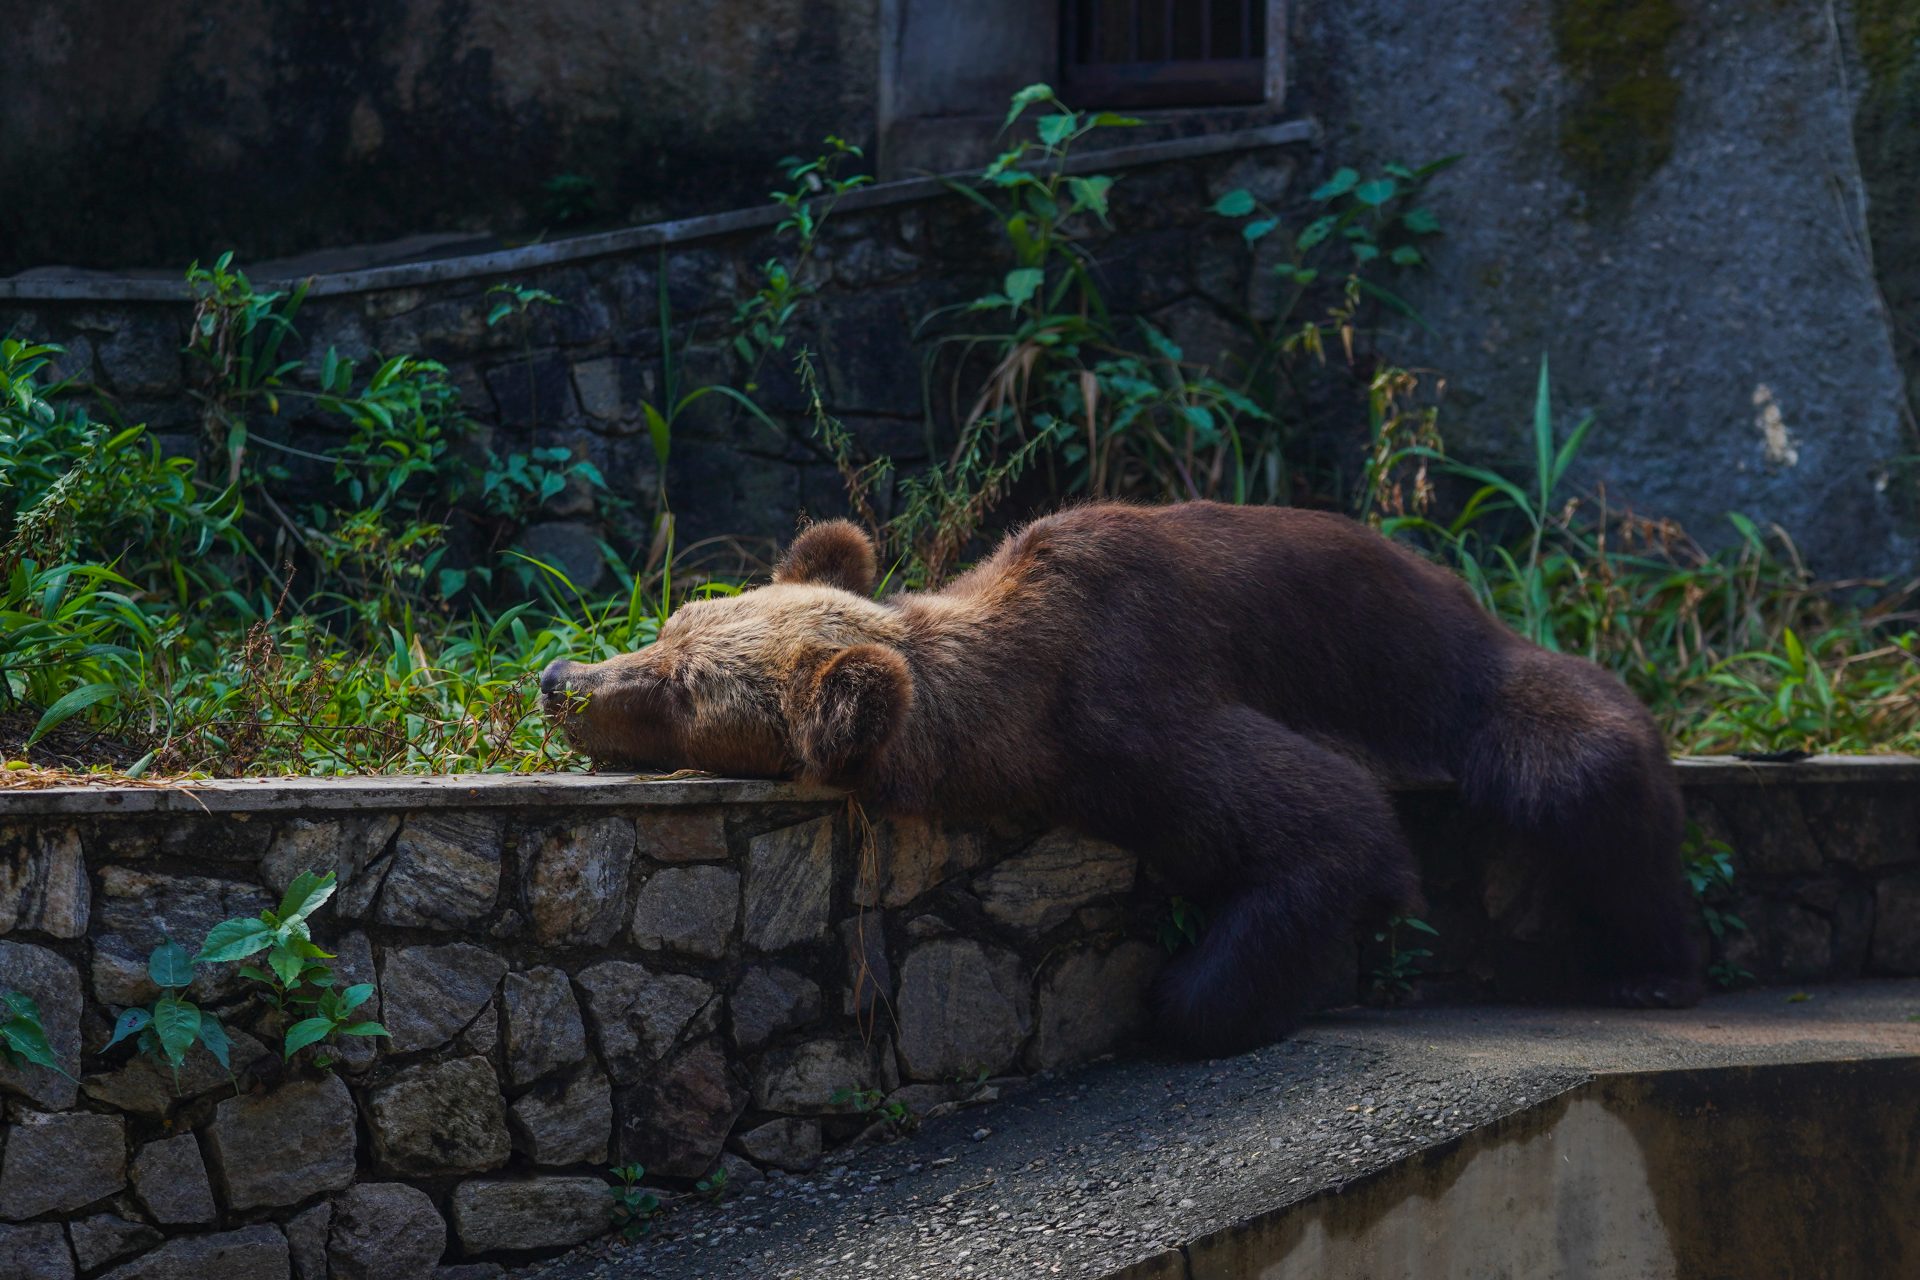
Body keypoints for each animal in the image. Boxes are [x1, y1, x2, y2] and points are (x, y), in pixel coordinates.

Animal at [541, 506, 1697, 1059]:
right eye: (670, 624)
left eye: (682, 686)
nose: (559, 679)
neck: (1016, 705)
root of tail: (1463, 588)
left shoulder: (1137, 712)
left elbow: (1332, 827)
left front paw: (1191, 997)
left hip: (1455, 679)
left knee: (1584, 768)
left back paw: (1652, 965)